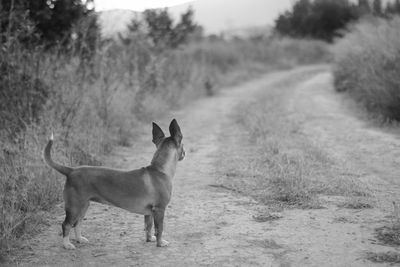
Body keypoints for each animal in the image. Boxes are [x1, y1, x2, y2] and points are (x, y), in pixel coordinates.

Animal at [44, 120, 186, 250]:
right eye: (183, 145)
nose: (184, 154)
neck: (159, 170)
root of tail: (71, 170)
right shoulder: (159, 210)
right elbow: (159, 229)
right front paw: (160, 243)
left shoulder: (149, 213)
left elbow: (148, 227)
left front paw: (150, 239)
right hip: (74, 207)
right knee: (66, 225)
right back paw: (67, 244)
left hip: (83, 206)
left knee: (77, 224)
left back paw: (80, 239)